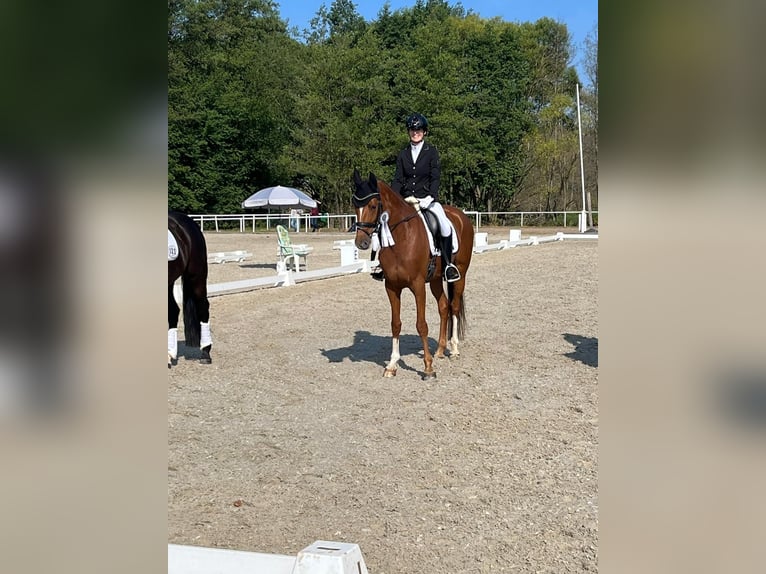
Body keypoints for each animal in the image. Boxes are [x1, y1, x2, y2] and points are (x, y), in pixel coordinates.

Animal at [354, 169, 474, 380]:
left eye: (373, 205)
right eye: (354, 205)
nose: (362, 243)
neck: (402, 236)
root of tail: (461, 215)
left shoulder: (418, 286)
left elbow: (421, 325)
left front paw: (428, 368)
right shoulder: (391, 287)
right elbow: (395, 323)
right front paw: (392, 365)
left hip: (461, 274)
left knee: (454, 306)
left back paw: (454, 349)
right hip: (435, 279)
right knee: (444, 306)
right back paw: (440, 350)